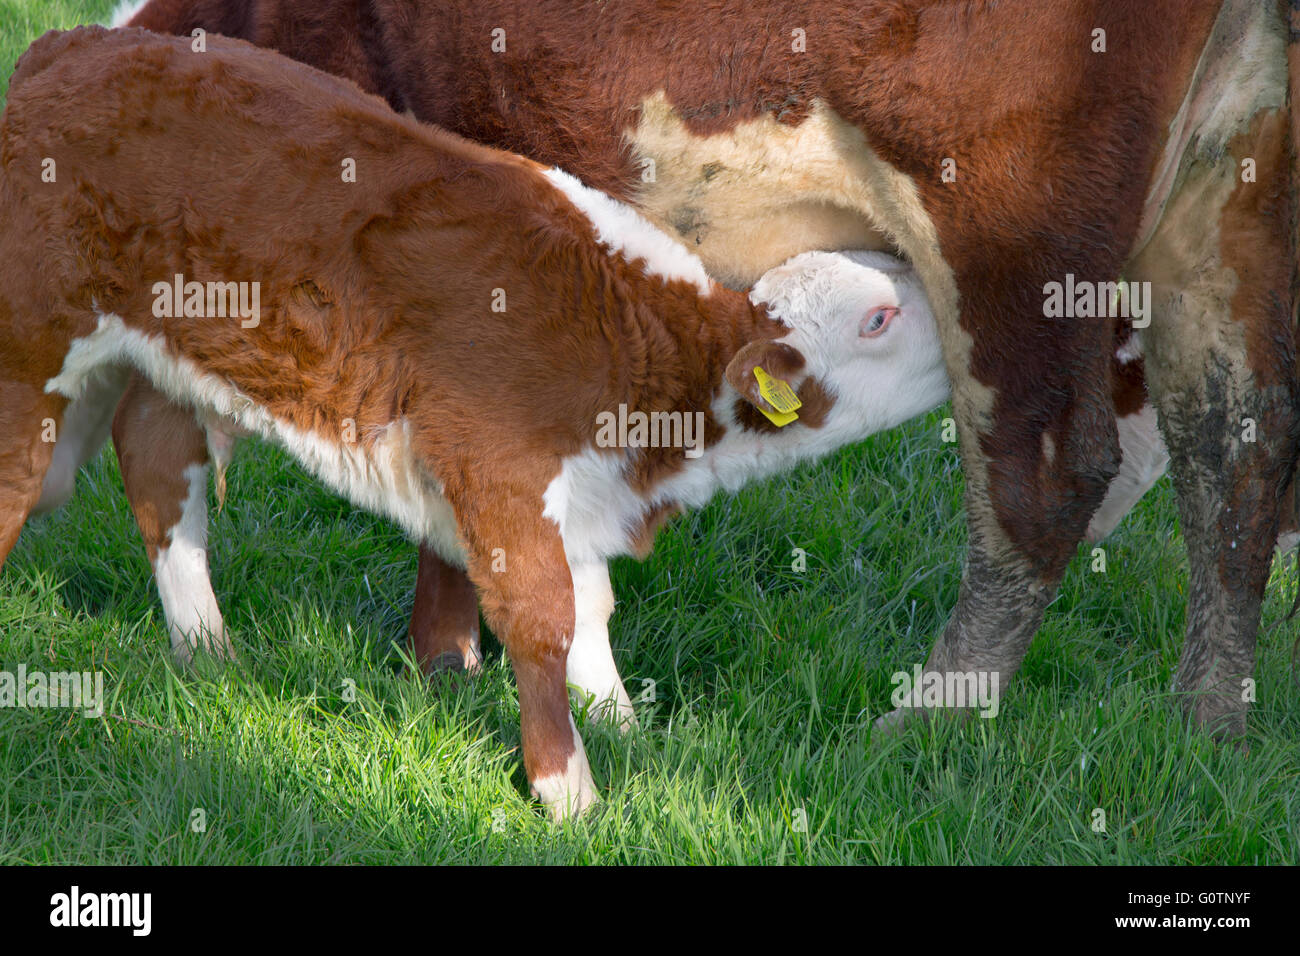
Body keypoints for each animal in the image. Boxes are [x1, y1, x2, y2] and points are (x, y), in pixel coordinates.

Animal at [0, 26, 956, 816]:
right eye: (879, 317)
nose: (960, 321)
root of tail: (65, 47)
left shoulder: (573, 493)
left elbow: (591, 607)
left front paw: (621, 727)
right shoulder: (494, 465)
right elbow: (541, 618)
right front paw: (569, 792)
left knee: (158, 460)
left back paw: (208, 652)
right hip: (30, 344)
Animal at [109, 0, 1300, 738]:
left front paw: (444, 655)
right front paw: (446, 659)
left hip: (1012, 215)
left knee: (1046, 476)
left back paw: (918, 723)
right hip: (1233, 183)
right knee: (1237, 449)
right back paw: (1206, 726)